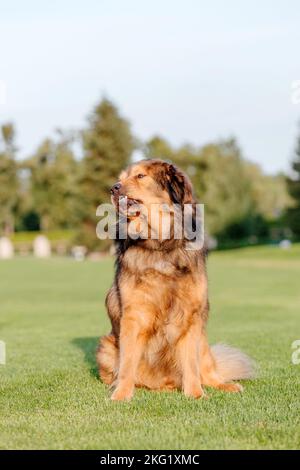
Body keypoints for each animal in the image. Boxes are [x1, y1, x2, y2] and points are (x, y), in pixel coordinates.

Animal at [95, 159, 253, 400]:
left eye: (140, 176)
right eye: (120, 178)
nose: (113, 188)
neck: (161, 244)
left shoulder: (190, 315)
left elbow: (191, 364)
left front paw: (196, 394)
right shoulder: (134, 315)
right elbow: (128, 363)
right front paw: (121, 395)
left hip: (203, 341)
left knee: (207, 368)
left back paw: (224, 384)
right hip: (106, 347)